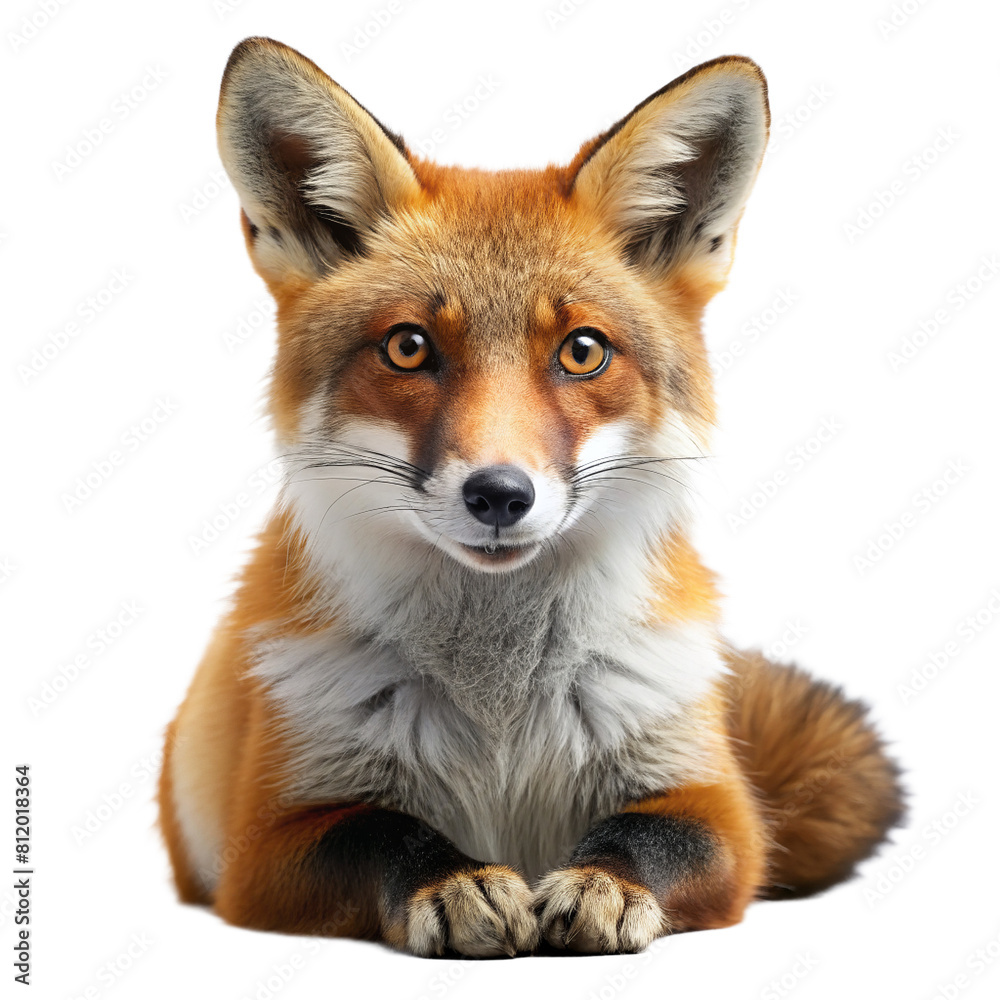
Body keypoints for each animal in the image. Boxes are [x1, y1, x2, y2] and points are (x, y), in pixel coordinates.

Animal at [158, 37, 904, 957]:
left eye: (582, 351)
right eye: (409, 347)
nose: (499, 494)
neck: (502, 716)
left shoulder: (722, 811)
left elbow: (651, 834)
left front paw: (603, 881)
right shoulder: (266, 842)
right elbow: (385, 833)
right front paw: (457, 880)